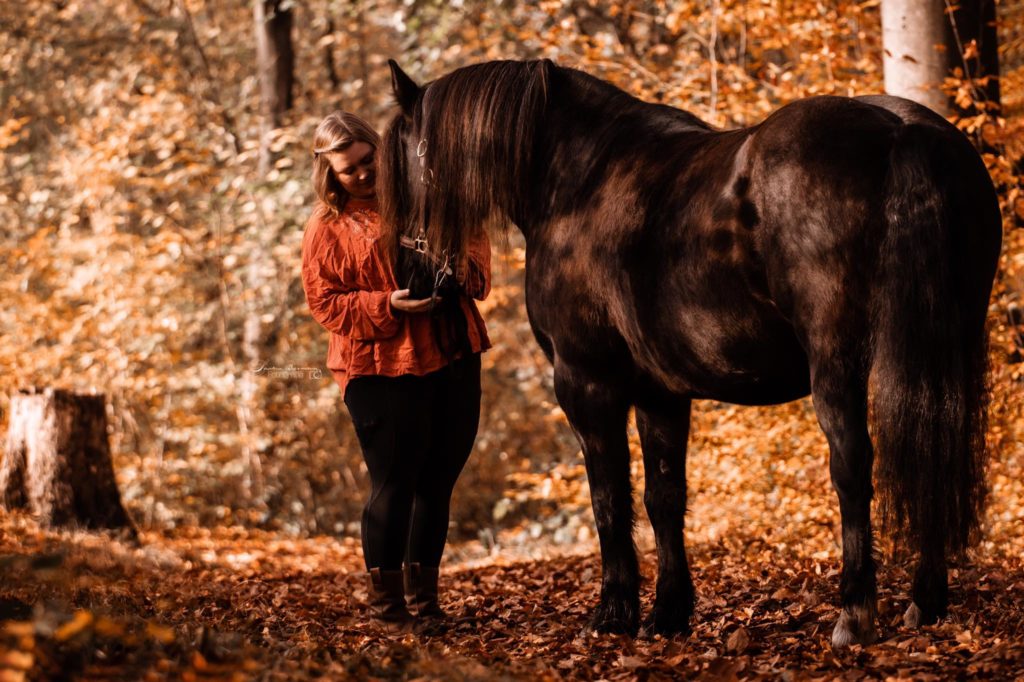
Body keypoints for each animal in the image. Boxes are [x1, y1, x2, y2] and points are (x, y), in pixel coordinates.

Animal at [376, 58, 1002, 647]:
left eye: (400, 166)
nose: (409, 280)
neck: (579, 180)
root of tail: (901, 130)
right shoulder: (661, 393)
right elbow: (663, 498)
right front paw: (668, 614)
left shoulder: (585, 382)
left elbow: (609, 497)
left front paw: (613, 614)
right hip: (945, 352)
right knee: (932, 448)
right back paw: (926, 603)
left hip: (838, 363)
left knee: (853, 467)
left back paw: (853, 614)